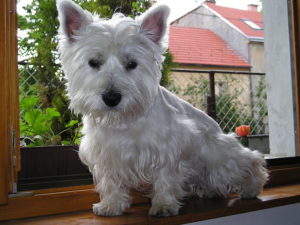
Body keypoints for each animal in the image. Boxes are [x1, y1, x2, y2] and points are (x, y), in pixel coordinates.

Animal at [56, 0, 270, 217]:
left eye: (132, 63)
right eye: (93, 62)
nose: (111, 97)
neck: (123, 120)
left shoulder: (170, 148)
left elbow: (166, 178)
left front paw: (164, 205)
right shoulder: (106, 154)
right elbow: (111, 181)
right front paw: (111, 205)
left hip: (220, 157)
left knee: (251, 161)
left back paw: (251, 187)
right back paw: (209, 191)